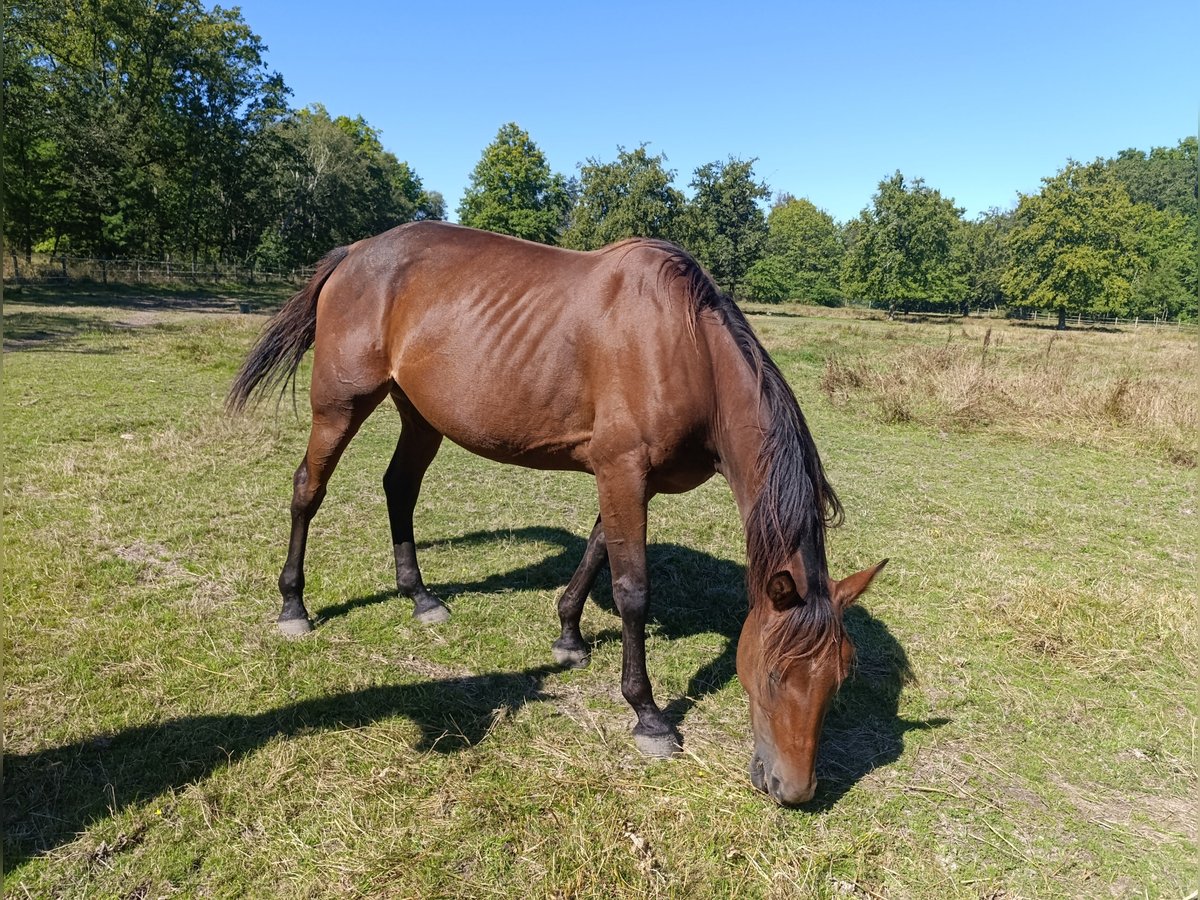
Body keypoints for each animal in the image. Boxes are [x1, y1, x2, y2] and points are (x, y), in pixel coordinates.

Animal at [226, 222, 883, 806]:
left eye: (840, 677)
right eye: (772, 675)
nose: (793, 790)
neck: (686, 349)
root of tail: (356, 251)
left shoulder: (624, 478)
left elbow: (596, 552)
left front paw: (568, 636)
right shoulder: (622, 470)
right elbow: (632, 588)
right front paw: (648, 715)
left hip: (419, 414)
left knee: (400, 489)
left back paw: (421, 597)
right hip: (340, 404)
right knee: (308, 490)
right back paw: (293, 605)